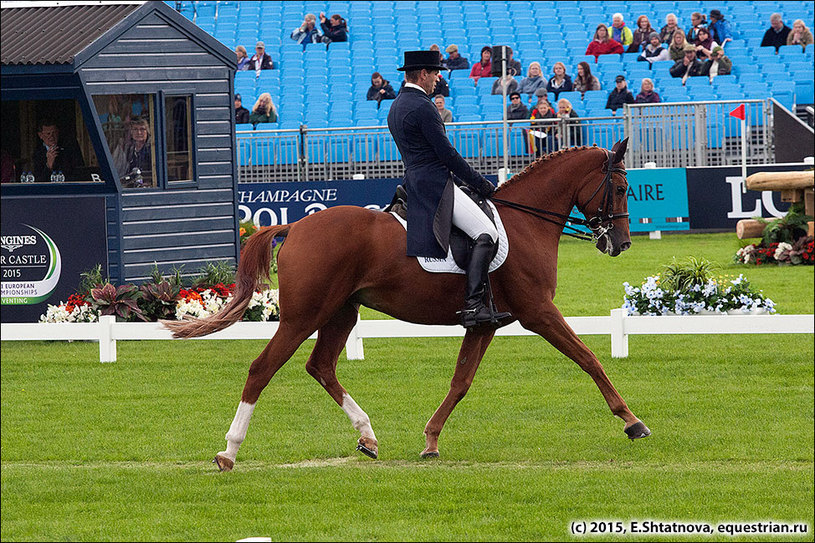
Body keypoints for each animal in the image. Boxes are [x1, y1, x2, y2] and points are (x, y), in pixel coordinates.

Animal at [164, 141, 652, 472]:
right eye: (621, 187)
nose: (622, 244)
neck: (526, 221)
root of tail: (297, 226)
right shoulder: (538, 312)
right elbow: (589, 358)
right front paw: (632, 422)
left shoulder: (484, 324)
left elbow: (460, 382)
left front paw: (431, 441)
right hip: (304, 315)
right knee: (262, 368)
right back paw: (229, 451)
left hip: (341, 312)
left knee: (321, 366)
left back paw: (368, 437)